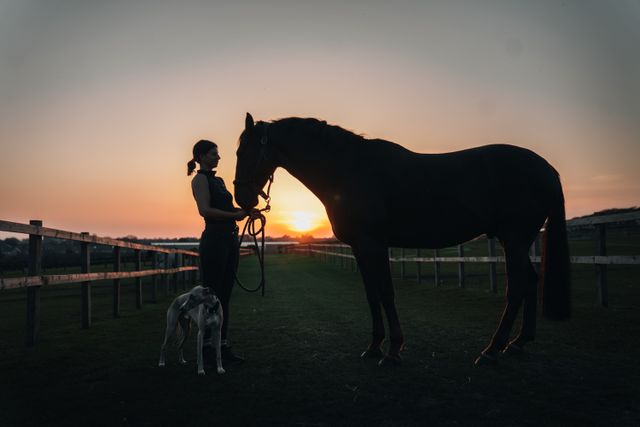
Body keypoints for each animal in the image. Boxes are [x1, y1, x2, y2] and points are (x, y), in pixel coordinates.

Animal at [234, 113, 570, 366]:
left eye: (244, 152)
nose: (241, 198)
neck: (349, 169)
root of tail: (548, 169)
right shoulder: (360, 248)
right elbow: (372, 295)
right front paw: (374, 347)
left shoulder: (374, 244)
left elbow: (386, 293)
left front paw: (393, 350)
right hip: (515, 240)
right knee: (530, 281)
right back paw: (518, 342)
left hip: (514, 239)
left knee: (517, 287)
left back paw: (491, 350)